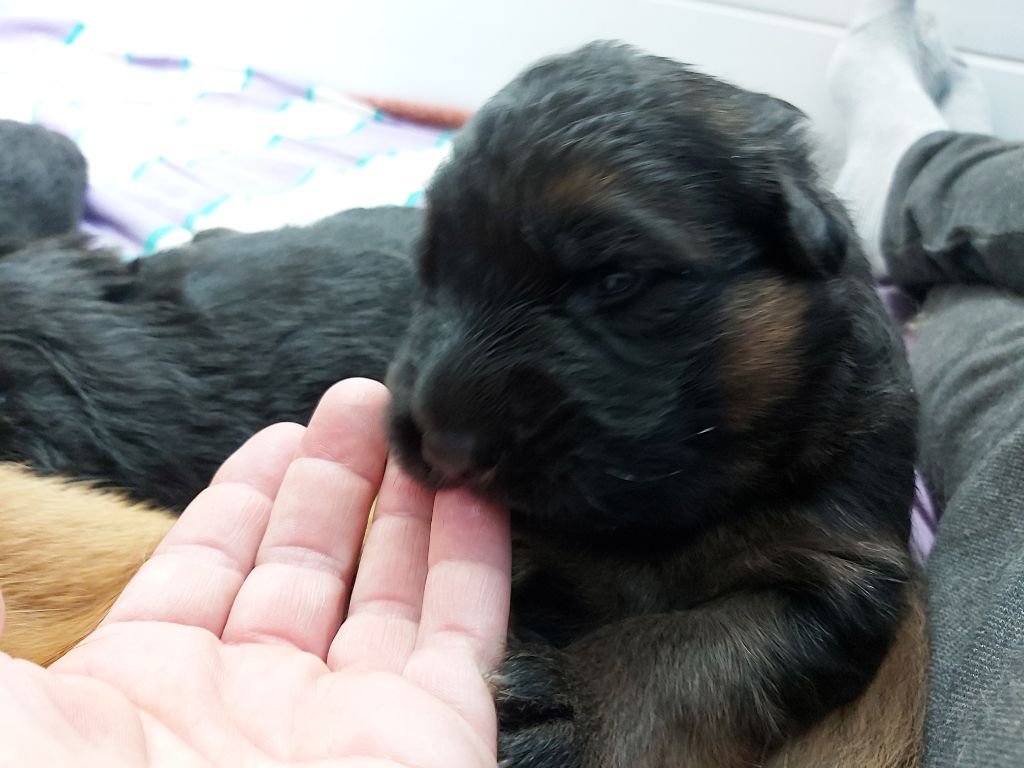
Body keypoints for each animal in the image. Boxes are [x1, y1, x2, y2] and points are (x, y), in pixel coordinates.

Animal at [387, 41, 925, 768]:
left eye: (616, 279)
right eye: (431, 275)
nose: (445, 444)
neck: (658, 519)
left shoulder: (836, 568)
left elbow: (688, 651)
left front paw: (570, 709)